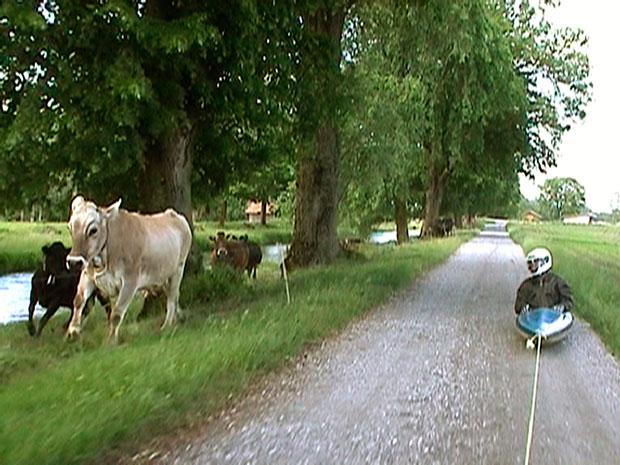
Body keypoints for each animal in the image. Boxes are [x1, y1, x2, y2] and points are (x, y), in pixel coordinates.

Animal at [64, 194, 191, 342]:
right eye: (70, 227)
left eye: (93, 230)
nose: (73, 262)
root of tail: (174, 214)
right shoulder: (87, 275)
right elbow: (78, 301)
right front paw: (72, 331)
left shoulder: (130, 280)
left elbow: (116, 313)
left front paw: (111, 340)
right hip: (162, 276)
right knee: (175, 296)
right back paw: (178, 318)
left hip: (178, 270)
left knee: (172, 297)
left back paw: (167, 325)